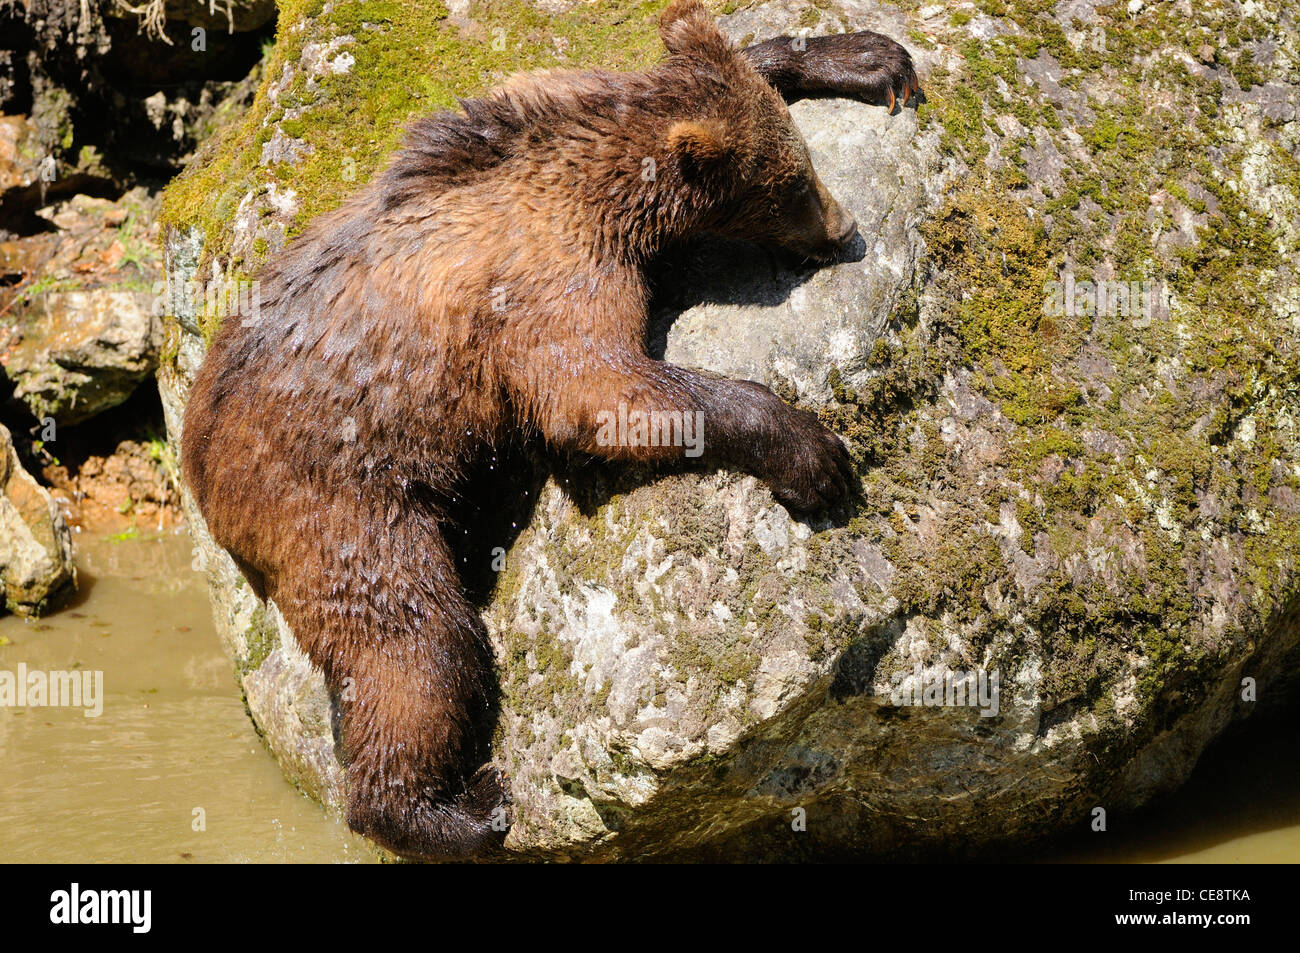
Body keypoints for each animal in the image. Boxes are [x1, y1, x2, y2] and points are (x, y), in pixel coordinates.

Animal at [181, 0, 918, 860]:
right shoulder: (549, 277)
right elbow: (598, 393)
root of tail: (201, 473)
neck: (604, 189)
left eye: (800, 165)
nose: (845, 227)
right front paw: (814, 454)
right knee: (419, 643)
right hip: (337, 498)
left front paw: (868, 58)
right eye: (792, 186)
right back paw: (458, 807)